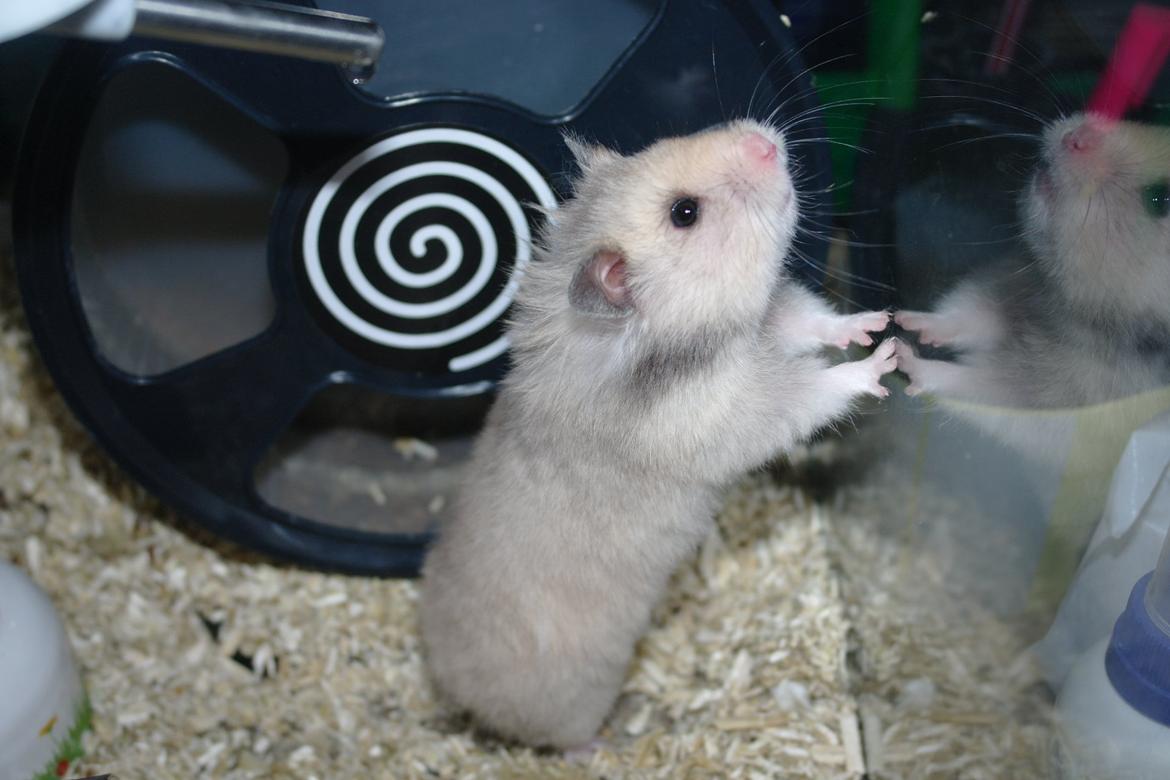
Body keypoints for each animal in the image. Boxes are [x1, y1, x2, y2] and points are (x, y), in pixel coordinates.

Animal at [418, 120, 897, 749]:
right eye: (684, 213)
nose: (763, 139)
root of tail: (455, 694)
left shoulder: (767, 321)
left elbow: (808, 318)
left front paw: (877, 322)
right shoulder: (731, 411)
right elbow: (812, 389)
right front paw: (884, 362)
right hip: (572, 701)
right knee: (564, 739)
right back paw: (607, 744)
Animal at [896, 113, 1170, 411]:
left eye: (1161, 198)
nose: (1074, 136)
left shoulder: (1054, 395)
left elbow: (968, 379)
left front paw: (901, 356)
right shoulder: (1011, 285)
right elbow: (965, 315)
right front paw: (904, 321)